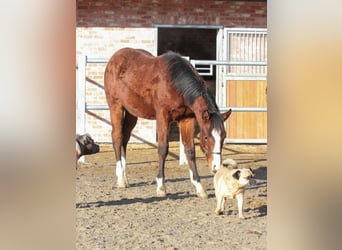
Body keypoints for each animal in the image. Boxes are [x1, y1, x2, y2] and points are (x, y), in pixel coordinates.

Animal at [105, 47, 232, 198]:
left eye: (223, 137)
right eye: (206, 137)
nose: (216, 167)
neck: (175, 83)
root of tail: (115, 58)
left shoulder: (187, 120)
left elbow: (190, 151)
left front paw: (199, 187)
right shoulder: (162, 117)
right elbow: (163, 149)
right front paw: (161, 187)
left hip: (132, 112)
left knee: (124, 138)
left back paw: (125, 178)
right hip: (116, 107)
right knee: (117, 137)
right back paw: (120, 179)